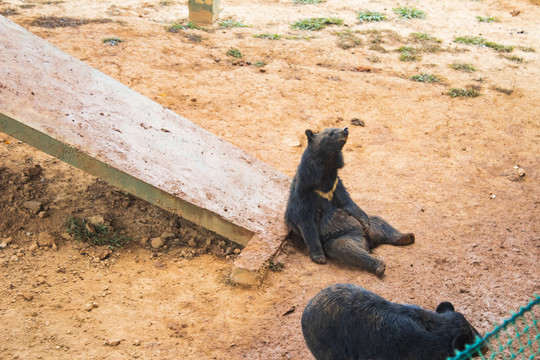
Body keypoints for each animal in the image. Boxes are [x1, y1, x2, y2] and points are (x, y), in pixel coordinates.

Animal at [284, 127, 416, 276]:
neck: (326, 171)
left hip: (370, 227)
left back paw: (406, 236)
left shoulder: (335, 184)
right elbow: (306, 222)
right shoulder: (306, 192)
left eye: (336, 128)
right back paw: (379, 265)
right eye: (331, 133)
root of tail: (367, 242)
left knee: (381, 223)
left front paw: (365, 221)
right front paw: (319, 258)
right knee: (349, 249)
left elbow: (348, 203)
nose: (346, 129)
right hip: (339, 238)